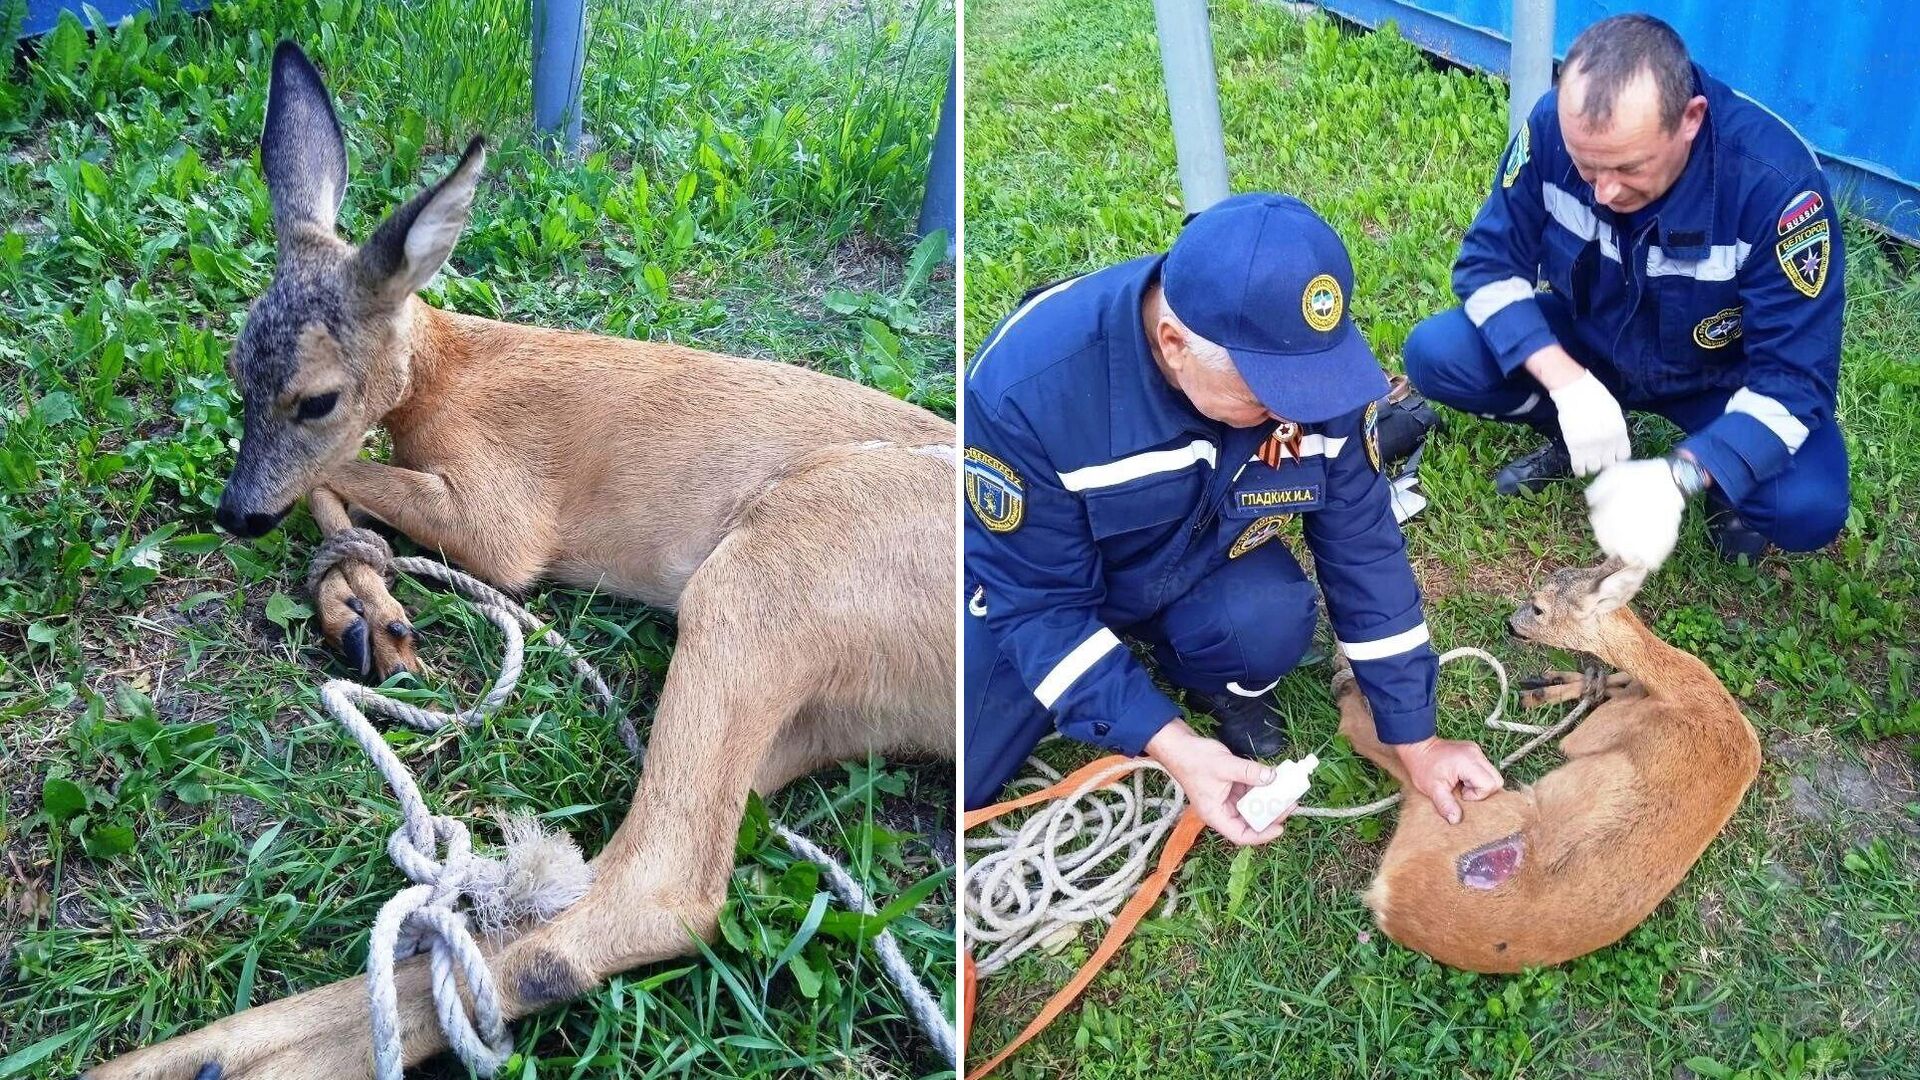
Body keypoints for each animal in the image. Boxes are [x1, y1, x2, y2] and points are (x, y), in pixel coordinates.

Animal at [86, 42, 956, 1076]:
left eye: (317, 398)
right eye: (233, 372)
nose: (235, 514)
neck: (449, 376)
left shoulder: (505, 515)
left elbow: (341, 477)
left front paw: (371, 609)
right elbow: (335, 496)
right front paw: (362, 610)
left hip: (777, 563)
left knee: (653, 890)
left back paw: (212, 1052)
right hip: (799, 706)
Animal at [1336, 557, 1758, 972]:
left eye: (1538, 606)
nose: (1509, 623)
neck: (1694, 695)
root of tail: (1389, 902)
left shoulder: (1606, 730)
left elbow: (1585, 727)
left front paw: (1556, 688)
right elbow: (1619, 679)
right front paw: (1555, 685)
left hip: (1468, 802)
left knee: (1377, 743)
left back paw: (1346, 677)